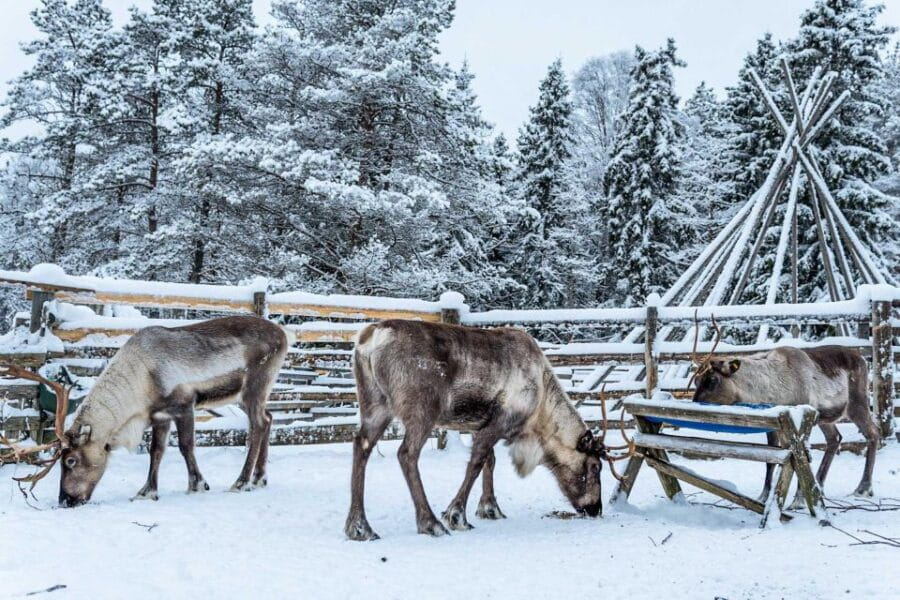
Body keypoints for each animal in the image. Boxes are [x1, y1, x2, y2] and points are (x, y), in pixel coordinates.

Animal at [1, 316, 292, 507]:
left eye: (71, 460)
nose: (65, 500)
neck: (141, 383)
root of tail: (283, 334)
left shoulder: (184, 405)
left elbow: (186, 446)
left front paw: (197, 485)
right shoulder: (159, 415)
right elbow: (156, 452)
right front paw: (147, 491)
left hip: (254, 387)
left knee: (257, 425)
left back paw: (241, 482)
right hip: (249, 396)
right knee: (269, 418)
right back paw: (259, 478)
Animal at [344, 319, 632, 541]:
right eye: (595, 466)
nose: (595, 509)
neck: (540, 408)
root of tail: (371, 337)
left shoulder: (477, 424)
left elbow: (489, 462)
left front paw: (490, 508)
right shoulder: (499, 421)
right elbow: (477, 462)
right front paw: (456, 515)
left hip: (374, 404)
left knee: (361, 444)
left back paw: (359, 527)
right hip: (422, 409)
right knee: (406, 454)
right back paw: (430, 523)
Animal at [689, 316, 879, 504]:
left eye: (712, 380)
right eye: (696, 380)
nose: (694, 404)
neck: (770, 390)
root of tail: (862, 358)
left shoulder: (803, 421)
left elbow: (802, 457)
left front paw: (799, 500)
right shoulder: (773, 426)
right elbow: (770, 460)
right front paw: (764, 496)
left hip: (857, 403)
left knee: (873, 433)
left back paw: (863, 488)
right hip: (825, 418)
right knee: (835, 439)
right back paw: (820, 486)